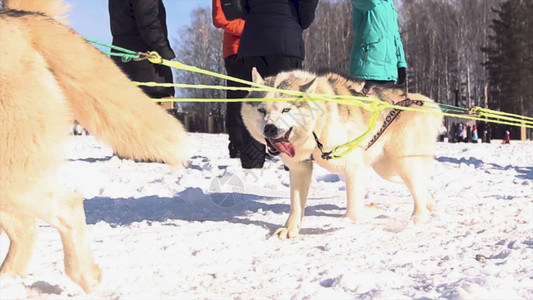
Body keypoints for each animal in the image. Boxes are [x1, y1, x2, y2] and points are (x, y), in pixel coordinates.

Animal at [241, 69, 440, 240]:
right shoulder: (300, 169)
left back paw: (417, 218)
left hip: (402, 164)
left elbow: (353, 211)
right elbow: (296, 205)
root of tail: (423, 101)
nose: (270, 128)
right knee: (420, 184)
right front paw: (290, 229)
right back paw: (430, 204)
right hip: (388, 169)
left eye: (286, 110)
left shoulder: (354, 168)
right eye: (261, 110)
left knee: (416, 187)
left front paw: (371, 209)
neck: (318, 126)